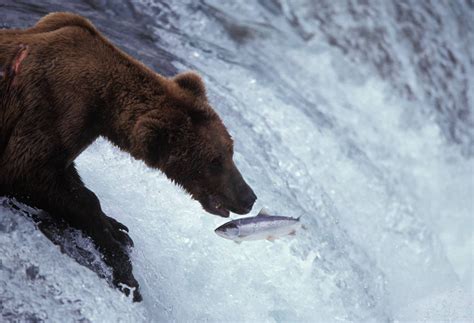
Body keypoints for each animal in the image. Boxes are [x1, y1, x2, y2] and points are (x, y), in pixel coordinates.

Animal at [0, 12, 256, 302]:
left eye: (230, 150)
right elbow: (26, 170)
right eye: (214, 161)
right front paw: (122, 264)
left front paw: (117, 228)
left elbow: (67, 175)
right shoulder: (52, 106)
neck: (103, 106)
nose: (248, 197)